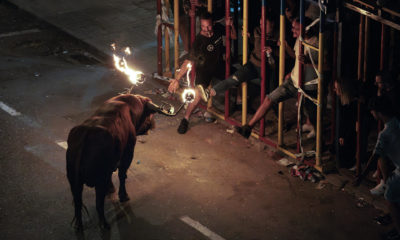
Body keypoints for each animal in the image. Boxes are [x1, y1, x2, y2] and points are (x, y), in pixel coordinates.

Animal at [67, 94, 169, 231]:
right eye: (149, 115)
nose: (153, 125)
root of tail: (86, 133)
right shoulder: (128, 153)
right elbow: (122, 175)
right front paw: (123, 195)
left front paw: (111, 188)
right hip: (99, 180)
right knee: (98, 203)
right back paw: (104, 224)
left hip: (73, 180)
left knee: (78, 203)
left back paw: (78, 225)